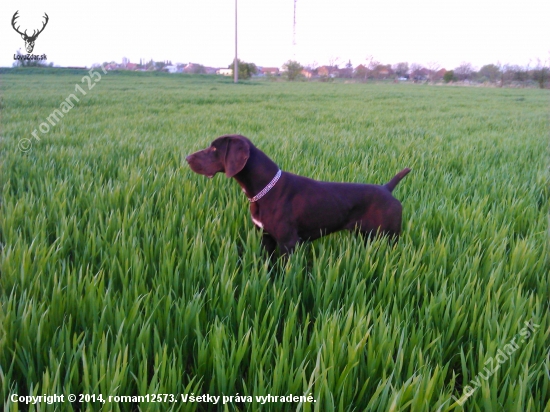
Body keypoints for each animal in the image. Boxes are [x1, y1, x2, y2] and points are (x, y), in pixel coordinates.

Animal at [188, 135, 412, 254]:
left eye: (214, 149)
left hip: (391, 237)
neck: (264, 189)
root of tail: (387, 188)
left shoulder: (288, 243)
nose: (187, 158)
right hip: (367, 236)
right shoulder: (266, 238)